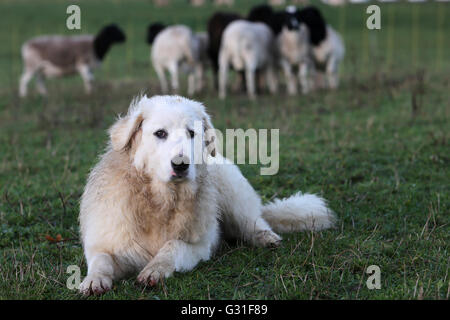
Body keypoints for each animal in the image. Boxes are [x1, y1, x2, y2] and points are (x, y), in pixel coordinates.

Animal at [80, 94, 334, 296]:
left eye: (191, 133)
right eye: (160, 133)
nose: (181, 164)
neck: (160, 200)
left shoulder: (199, 246)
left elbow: (172, 246)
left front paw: (156, 268)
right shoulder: (107, 244)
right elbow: (100, 260)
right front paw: (94, 280)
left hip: (234, 196)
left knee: (254, 222)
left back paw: (266, 237)